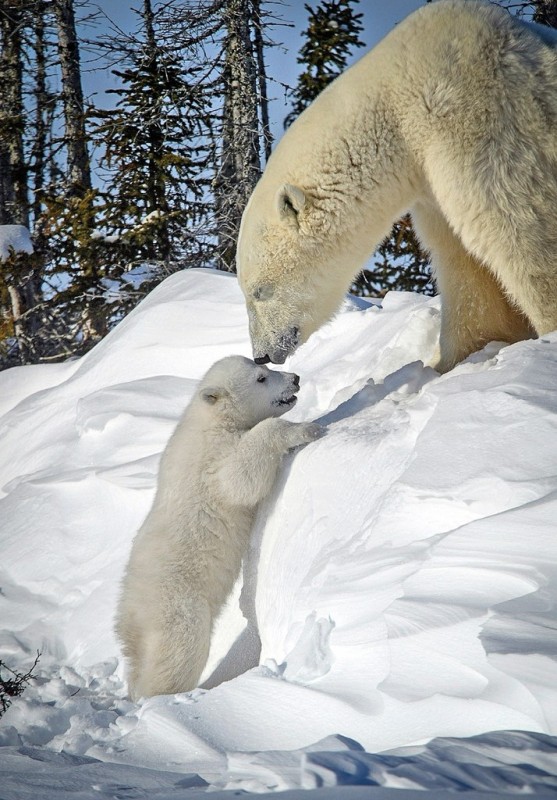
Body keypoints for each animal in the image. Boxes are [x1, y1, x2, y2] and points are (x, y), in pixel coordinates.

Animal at [236, 0, 556, 374]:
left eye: (260, 291)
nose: (262, 355)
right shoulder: (431, 183)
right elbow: (461, 261)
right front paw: (449, 361)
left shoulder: (482, 121)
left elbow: (521, 228)